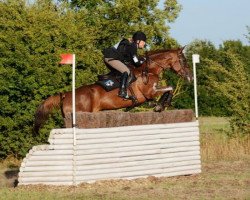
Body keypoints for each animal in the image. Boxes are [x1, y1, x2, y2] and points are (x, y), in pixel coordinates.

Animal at [33, 47, 192, 134]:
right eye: (184, 61)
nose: (190, 77)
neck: (149, 69)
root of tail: (66, 94)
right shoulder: (149, 92)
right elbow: (170, 88)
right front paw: (160, 105)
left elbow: (167, 90)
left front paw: (158, 105)